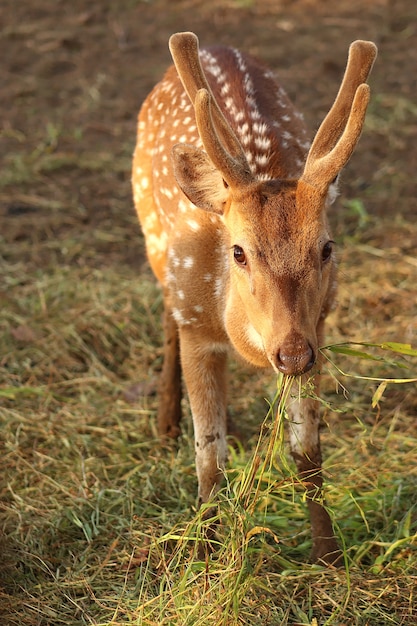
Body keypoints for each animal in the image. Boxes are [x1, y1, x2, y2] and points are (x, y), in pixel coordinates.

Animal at [132, 31, 376, 564]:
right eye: (239, 251)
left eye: (326, 247)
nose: (291, 353)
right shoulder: (198, 329)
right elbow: (209, 455)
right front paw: (203, 553)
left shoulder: (317, 329)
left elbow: (306, 448)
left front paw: (328, 555)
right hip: (153, 234)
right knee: (165, 313)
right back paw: (165, 423)